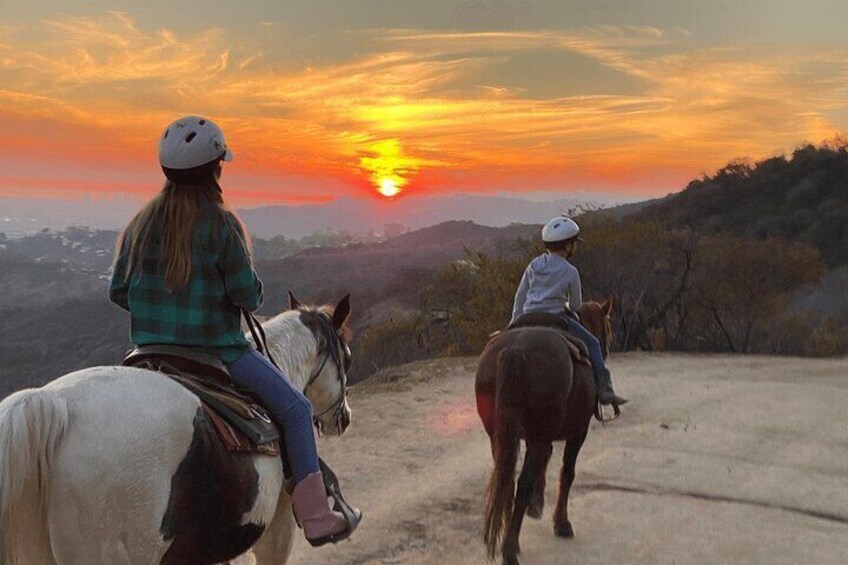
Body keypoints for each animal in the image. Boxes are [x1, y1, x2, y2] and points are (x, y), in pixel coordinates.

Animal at [476, 298, 608, 560]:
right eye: (607, 327)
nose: (607, 351)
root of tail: (514, 351)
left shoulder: (536, 437)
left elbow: (543, 463)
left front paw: (536, 506)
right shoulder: (578, 431)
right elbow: (567, 472)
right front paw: (561, 523)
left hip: (498, 436)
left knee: (506, 481)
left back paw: (509, 538)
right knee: (522, 483)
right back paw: (510, 549)